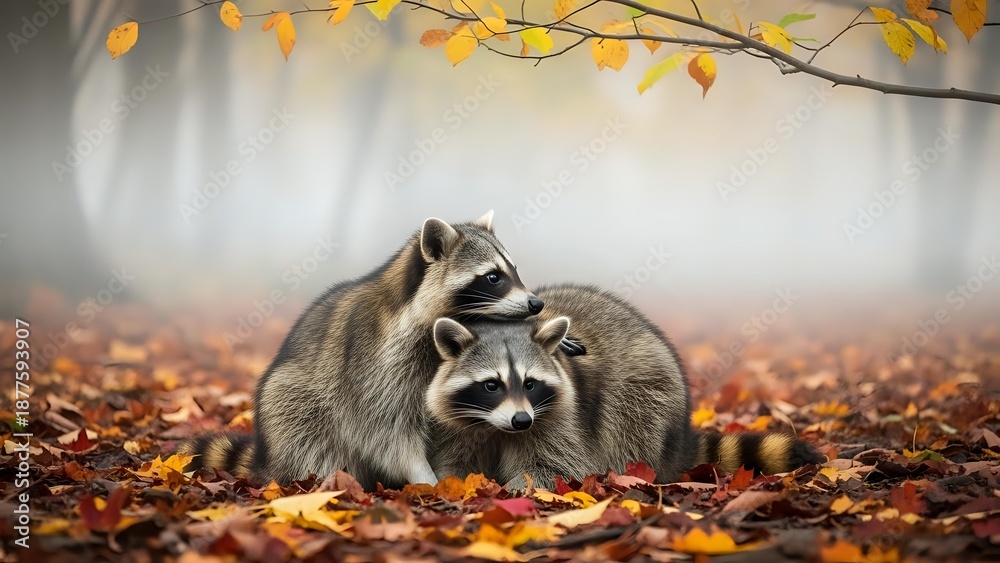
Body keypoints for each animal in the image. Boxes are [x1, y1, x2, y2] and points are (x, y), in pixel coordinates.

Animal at [185, 212, 547, 489]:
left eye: (514, 271)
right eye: (492, 277)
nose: (536, 303)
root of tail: (268, 460)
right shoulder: (376, 366)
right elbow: (386, 433)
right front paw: (426, 477)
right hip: (292, 409)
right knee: (308, 432)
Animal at [426, 284, 825, 489]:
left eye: (531, 382)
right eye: (491, 385)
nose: (522, 421)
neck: (499, 426)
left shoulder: (560, 419)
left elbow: (553, 465)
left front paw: (513, 490)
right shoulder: (460, 424)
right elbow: (455, 462)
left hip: (650, 388)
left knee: (630, 424)